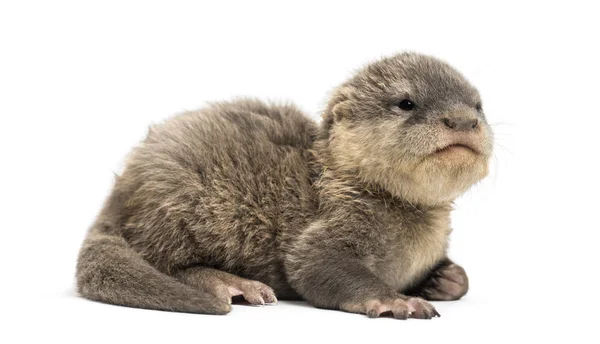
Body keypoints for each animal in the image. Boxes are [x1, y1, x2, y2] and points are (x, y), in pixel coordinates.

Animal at [76, 52, 492, 318]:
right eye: (406, 103)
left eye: (478, 105)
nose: (462, 120)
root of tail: (122, 190)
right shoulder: (327, 227)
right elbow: (313, 265)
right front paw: (397, 301)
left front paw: (445, 278)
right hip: (176, 200)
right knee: (165, 260)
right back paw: (231, 284)